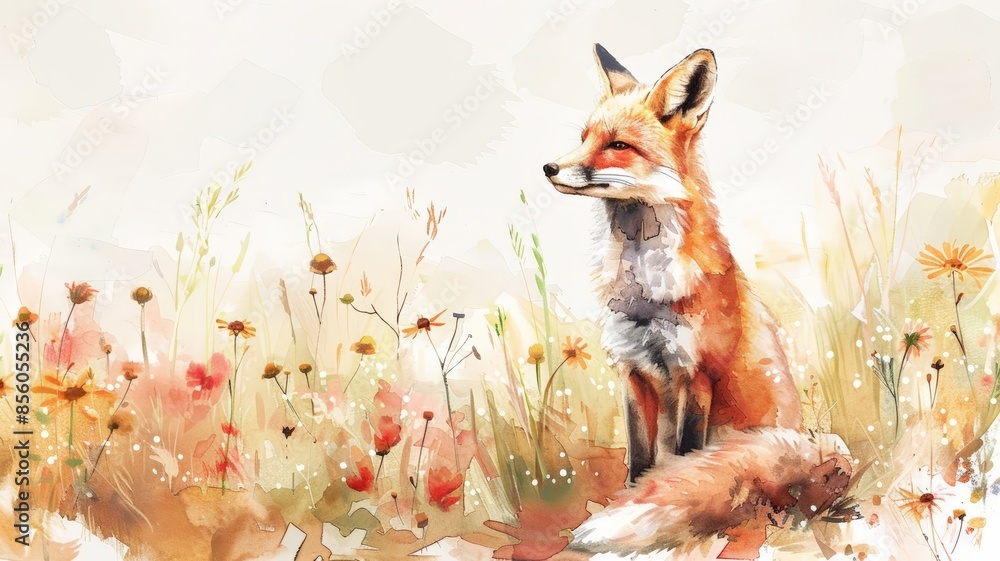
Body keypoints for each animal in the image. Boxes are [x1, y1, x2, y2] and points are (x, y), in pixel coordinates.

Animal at [543, 45, 852, 558]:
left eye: (618, 145)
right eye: (584, 138)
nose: (548, 168)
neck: (645, 293)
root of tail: (824, 458)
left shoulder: (696, 373)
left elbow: (686, 461)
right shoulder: (632, 370)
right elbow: (640, 461)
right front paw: (631, 496)